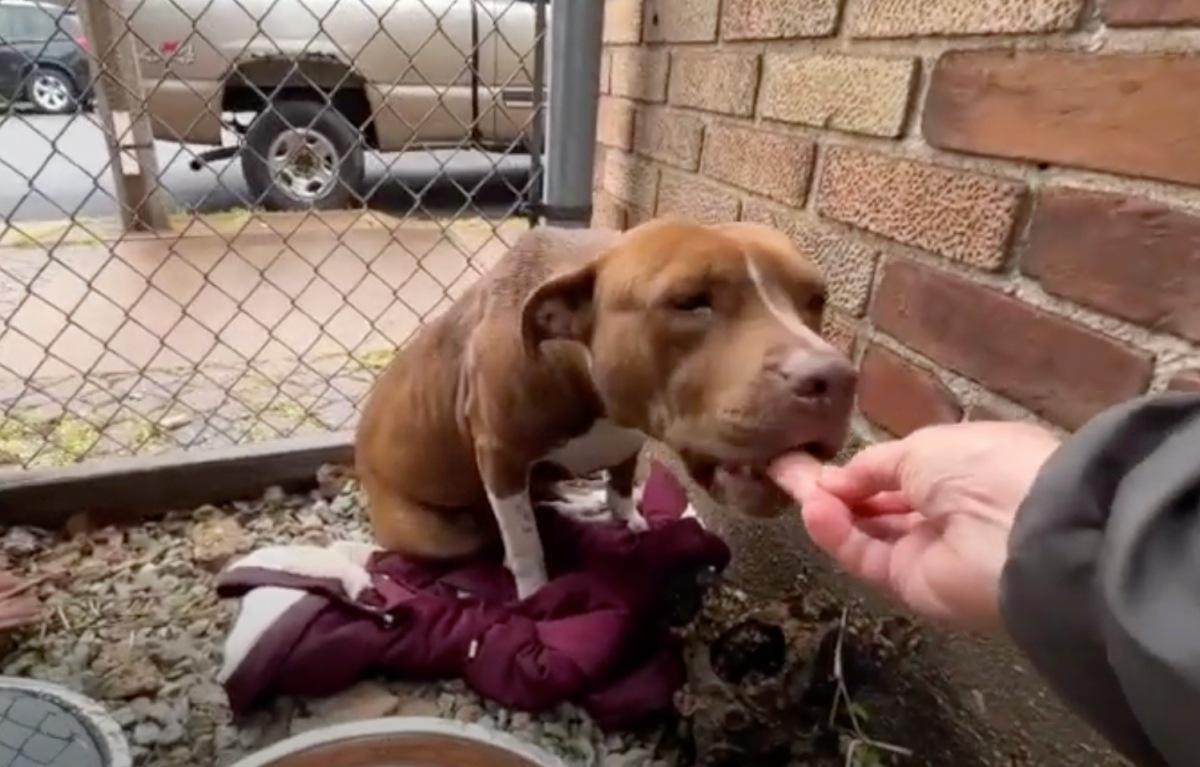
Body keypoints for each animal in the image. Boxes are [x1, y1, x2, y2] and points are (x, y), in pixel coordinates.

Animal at [355, 218, 854, 597]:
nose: (836, 378)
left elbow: (620, 486)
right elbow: (524, 541)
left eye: (816, 299)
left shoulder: (626, 443)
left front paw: (628, 520)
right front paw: (535, 593)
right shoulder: (501, 457)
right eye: (690, 302)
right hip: (440, 533)